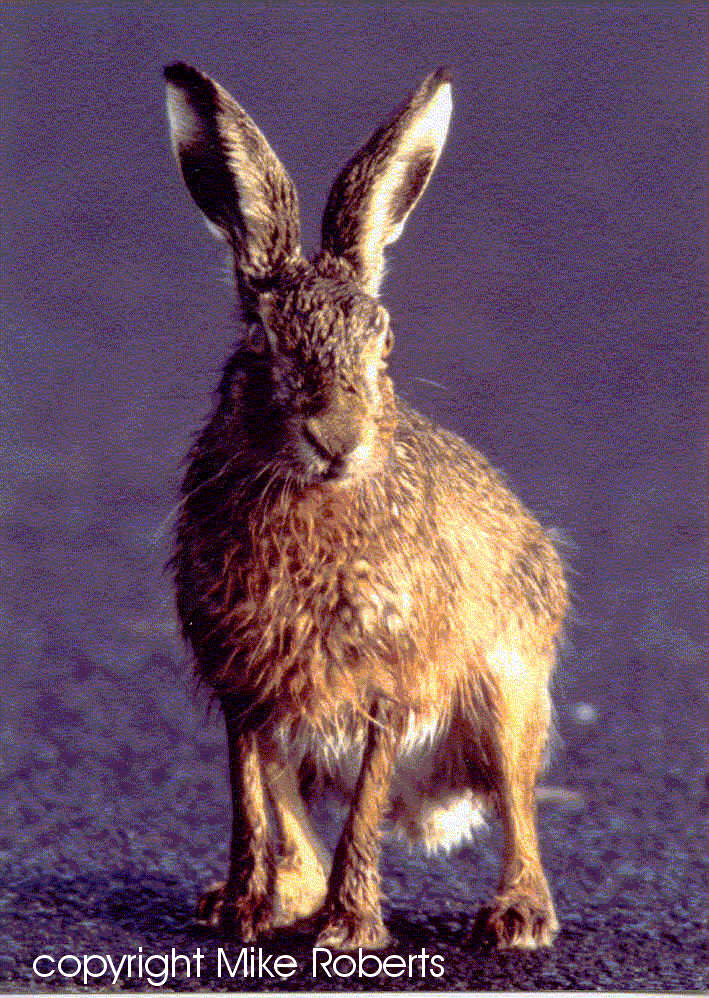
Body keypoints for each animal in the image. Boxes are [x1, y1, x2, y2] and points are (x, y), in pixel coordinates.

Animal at [164, 61, 570, 952]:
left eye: (382, 344)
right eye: (261, 343)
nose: (336, 439)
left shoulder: (390, 685)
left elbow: (364, 807)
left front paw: (350, 931)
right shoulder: (243, 691)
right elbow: (249, 802)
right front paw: (245, 911)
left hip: (508, 692)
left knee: (516, 805)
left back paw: (518, 916)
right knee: (293, 827)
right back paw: (259, 900)